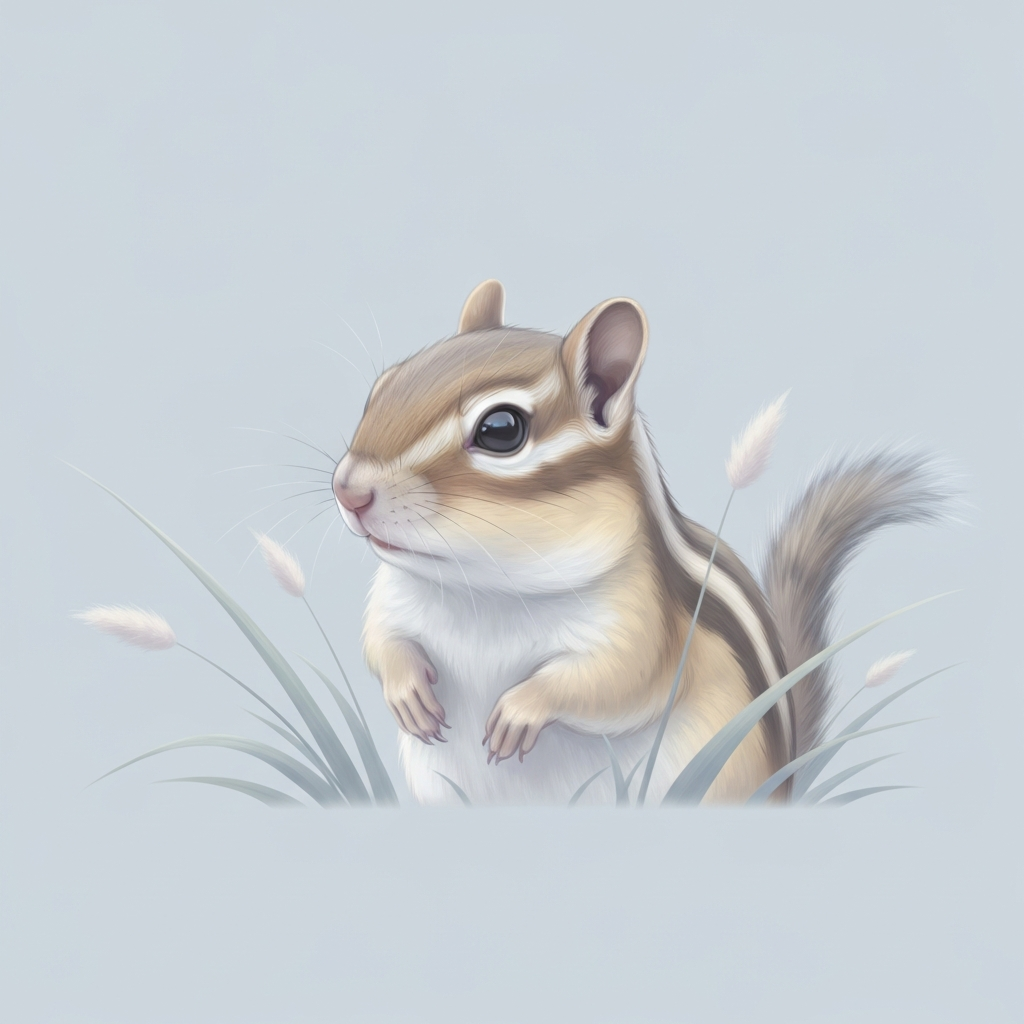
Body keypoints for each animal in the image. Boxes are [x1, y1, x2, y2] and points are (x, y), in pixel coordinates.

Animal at [331, 280, 944, 805]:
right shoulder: (394, 598)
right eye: (382, 387)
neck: (481, 587)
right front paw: (407, 692)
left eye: (501, 429)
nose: (348, 490)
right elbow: (381, 642)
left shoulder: (642, 624)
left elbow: (617, 682)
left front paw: (520, 709)